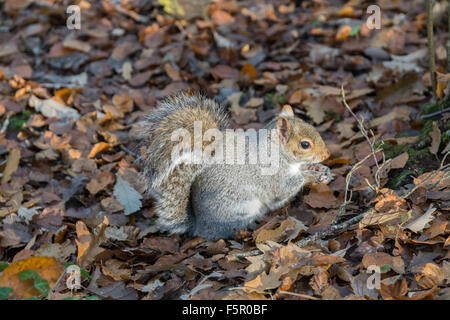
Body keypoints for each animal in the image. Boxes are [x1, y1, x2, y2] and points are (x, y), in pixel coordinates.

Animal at [135, 91, 332, 239]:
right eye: (305, 144)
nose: (326, 155)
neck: (277, 151)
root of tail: (199, 226)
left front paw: (319, 169)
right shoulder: (272, 175)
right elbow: (284, 188)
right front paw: (310, 176)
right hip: (240, 208)